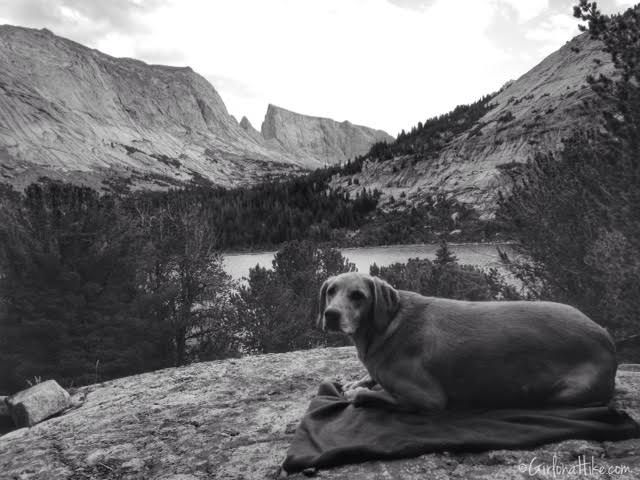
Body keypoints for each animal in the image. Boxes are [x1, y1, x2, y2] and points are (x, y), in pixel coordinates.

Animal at [318, 272, 616, 410]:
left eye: (358, 295)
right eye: (331, 290)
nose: (330, 314)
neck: (387, 326)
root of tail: (606, 337)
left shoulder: (427, 397)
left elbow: (371, 395)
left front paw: (357, 392)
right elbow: (367, 381)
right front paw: (358, 381)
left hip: (566, 392)